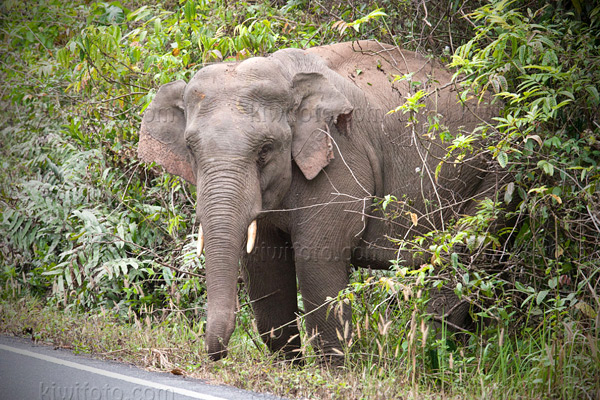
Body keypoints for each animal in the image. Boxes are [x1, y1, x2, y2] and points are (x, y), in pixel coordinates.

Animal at [138, 39, 504, 362]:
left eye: (265, 149)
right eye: (191, 148)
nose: (218, 355)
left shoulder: (341, 156)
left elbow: (318, 261)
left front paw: (332, 373)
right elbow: (265, 268)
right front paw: (288, 368)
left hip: (494, 175)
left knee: (464, 259)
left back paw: (435, 358)